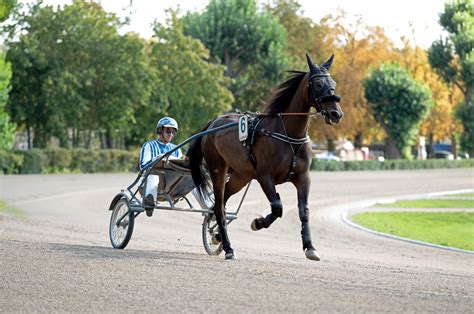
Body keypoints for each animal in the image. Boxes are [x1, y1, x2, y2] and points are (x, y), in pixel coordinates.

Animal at [189, 54, 344, 260]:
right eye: (318, 84)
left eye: (333, 82)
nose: (336, 113)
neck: (289, 136)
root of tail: (213, 123)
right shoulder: (264, 176)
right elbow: (277, 207)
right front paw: (258, 222)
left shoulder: (303, 177)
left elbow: (304, 211)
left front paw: (310, 246)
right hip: (217, 169)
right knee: (219, 207)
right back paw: (228, 247)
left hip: (241, 176)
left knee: (222, 200)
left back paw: (216, 234)